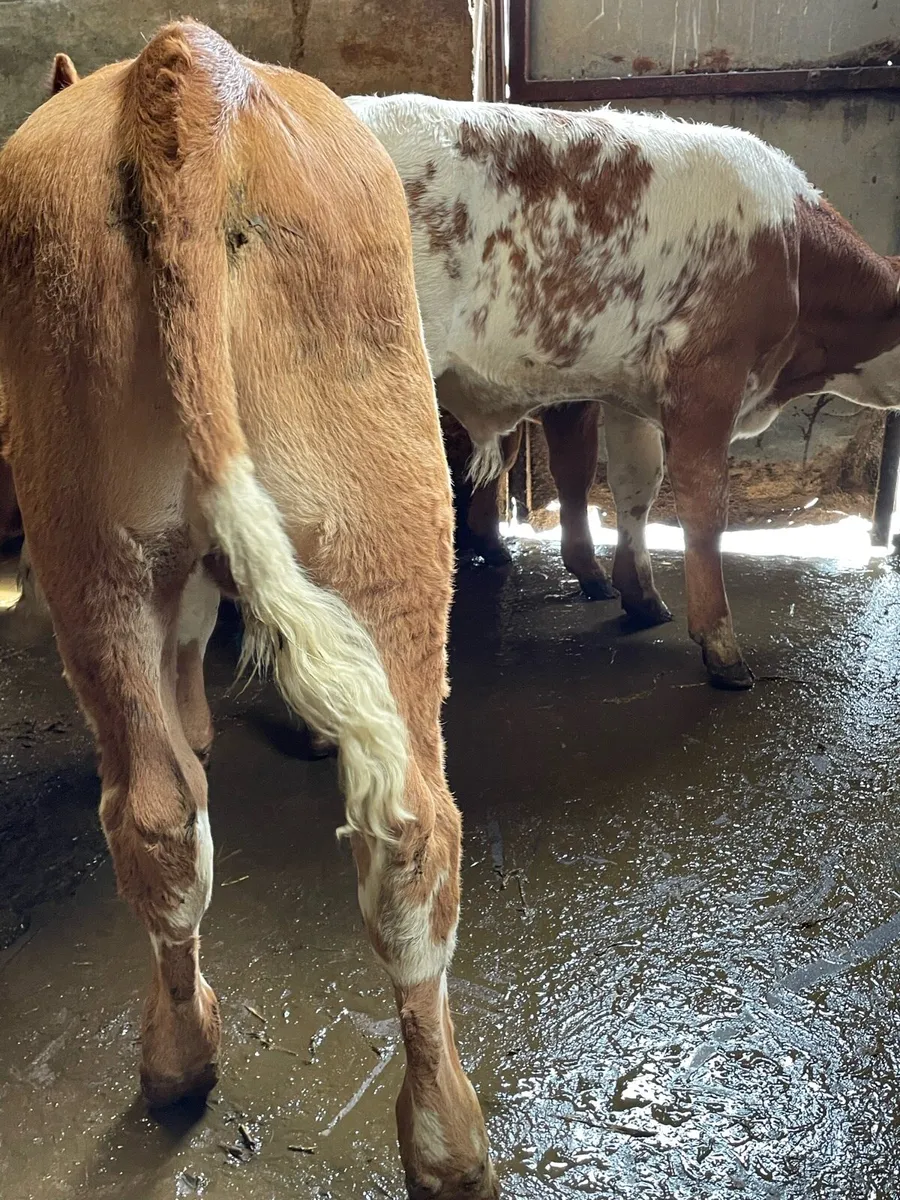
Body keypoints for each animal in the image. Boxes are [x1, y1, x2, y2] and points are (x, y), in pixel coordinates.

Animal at [346, 94, 900, 689]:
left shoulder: (630, 390)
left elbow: (635, 486)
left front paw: (639, 594)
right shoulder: (707, 380)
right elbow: (704, 507)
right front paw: (721, 643)